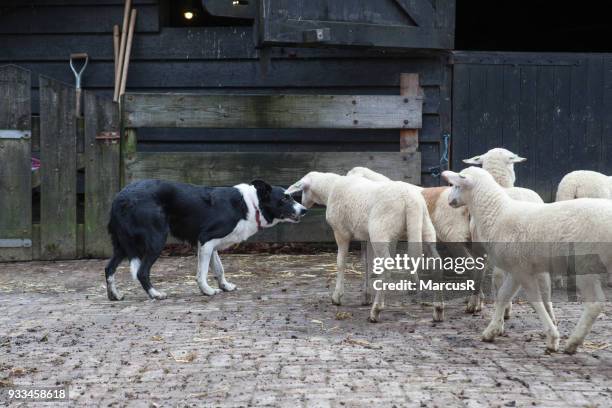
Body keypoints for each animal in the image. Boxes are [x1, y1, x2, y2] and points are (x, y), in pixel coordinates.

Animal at [106, 178, 306, 300]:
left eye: (291, 197)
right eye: (284, 199)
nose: (304, 210)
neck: (252, 204)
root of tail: (120, 197)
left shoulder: (210, 245)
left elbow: (219, 269)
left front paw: (225, 286)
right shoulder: (206, 239)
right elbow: (202, 273)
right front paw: (207, 291)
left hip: (122, 246)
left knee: (109, 268)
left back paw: (114, 295)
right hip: (156, 240)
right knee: (141, 271)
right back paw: (155, 294)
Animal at [286, 171, 444, 322]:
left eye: (303, 190)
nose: (303, 206)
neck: (330, 188)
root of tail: (410, 200)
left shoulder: (341, 232)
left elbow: (341, 263)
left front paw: (337, 297)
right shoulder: (365, 237)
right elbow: (366, 264)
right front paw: (366, 296)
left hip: (380, 231)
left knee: (386, 269)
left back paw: (376, 311)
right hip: (425, 227)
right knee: (437, 264)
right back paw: (438, 310)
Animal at [442, 166, 608, 354]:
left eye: (456, 185)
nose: (449, 201)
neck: (497, 214)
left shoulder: (521, 269)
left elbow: (534, 300)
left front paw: (552, 338)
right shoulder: (517, 269)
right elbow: (503, 295)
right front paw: (492, 330)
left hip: (584, 264)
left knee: (595, 303)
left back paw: (573, 342)